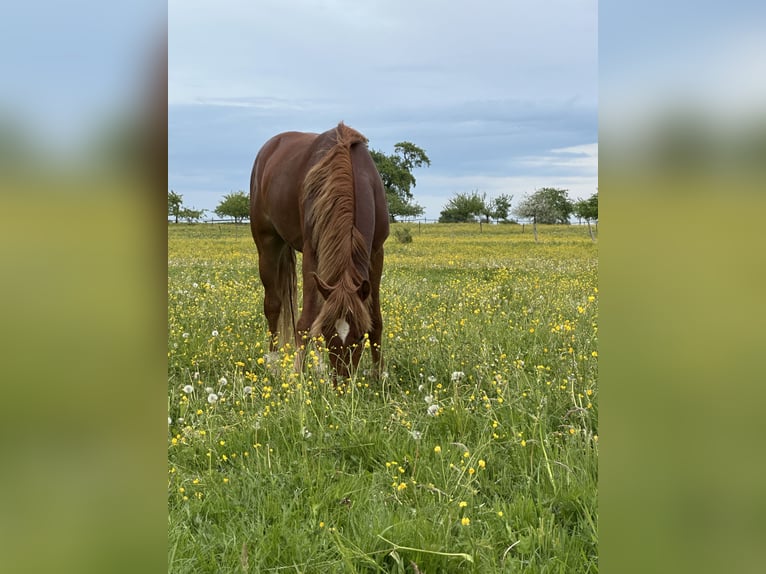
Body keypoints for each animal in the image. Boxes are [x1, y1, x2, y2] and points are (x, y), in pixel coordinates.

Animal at [249, 123, 390, 379]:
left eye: (358, 337)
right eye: (328, 334)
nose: (341, 382)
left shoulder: (376, 252)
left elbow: (375, 319)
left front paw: (379, 375)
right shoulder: (311, 254)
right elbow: (306, 321)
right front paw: (297, 374)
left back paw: (318, 366)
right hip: (267, 245)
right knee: (273, 305)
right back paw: (273, 364)